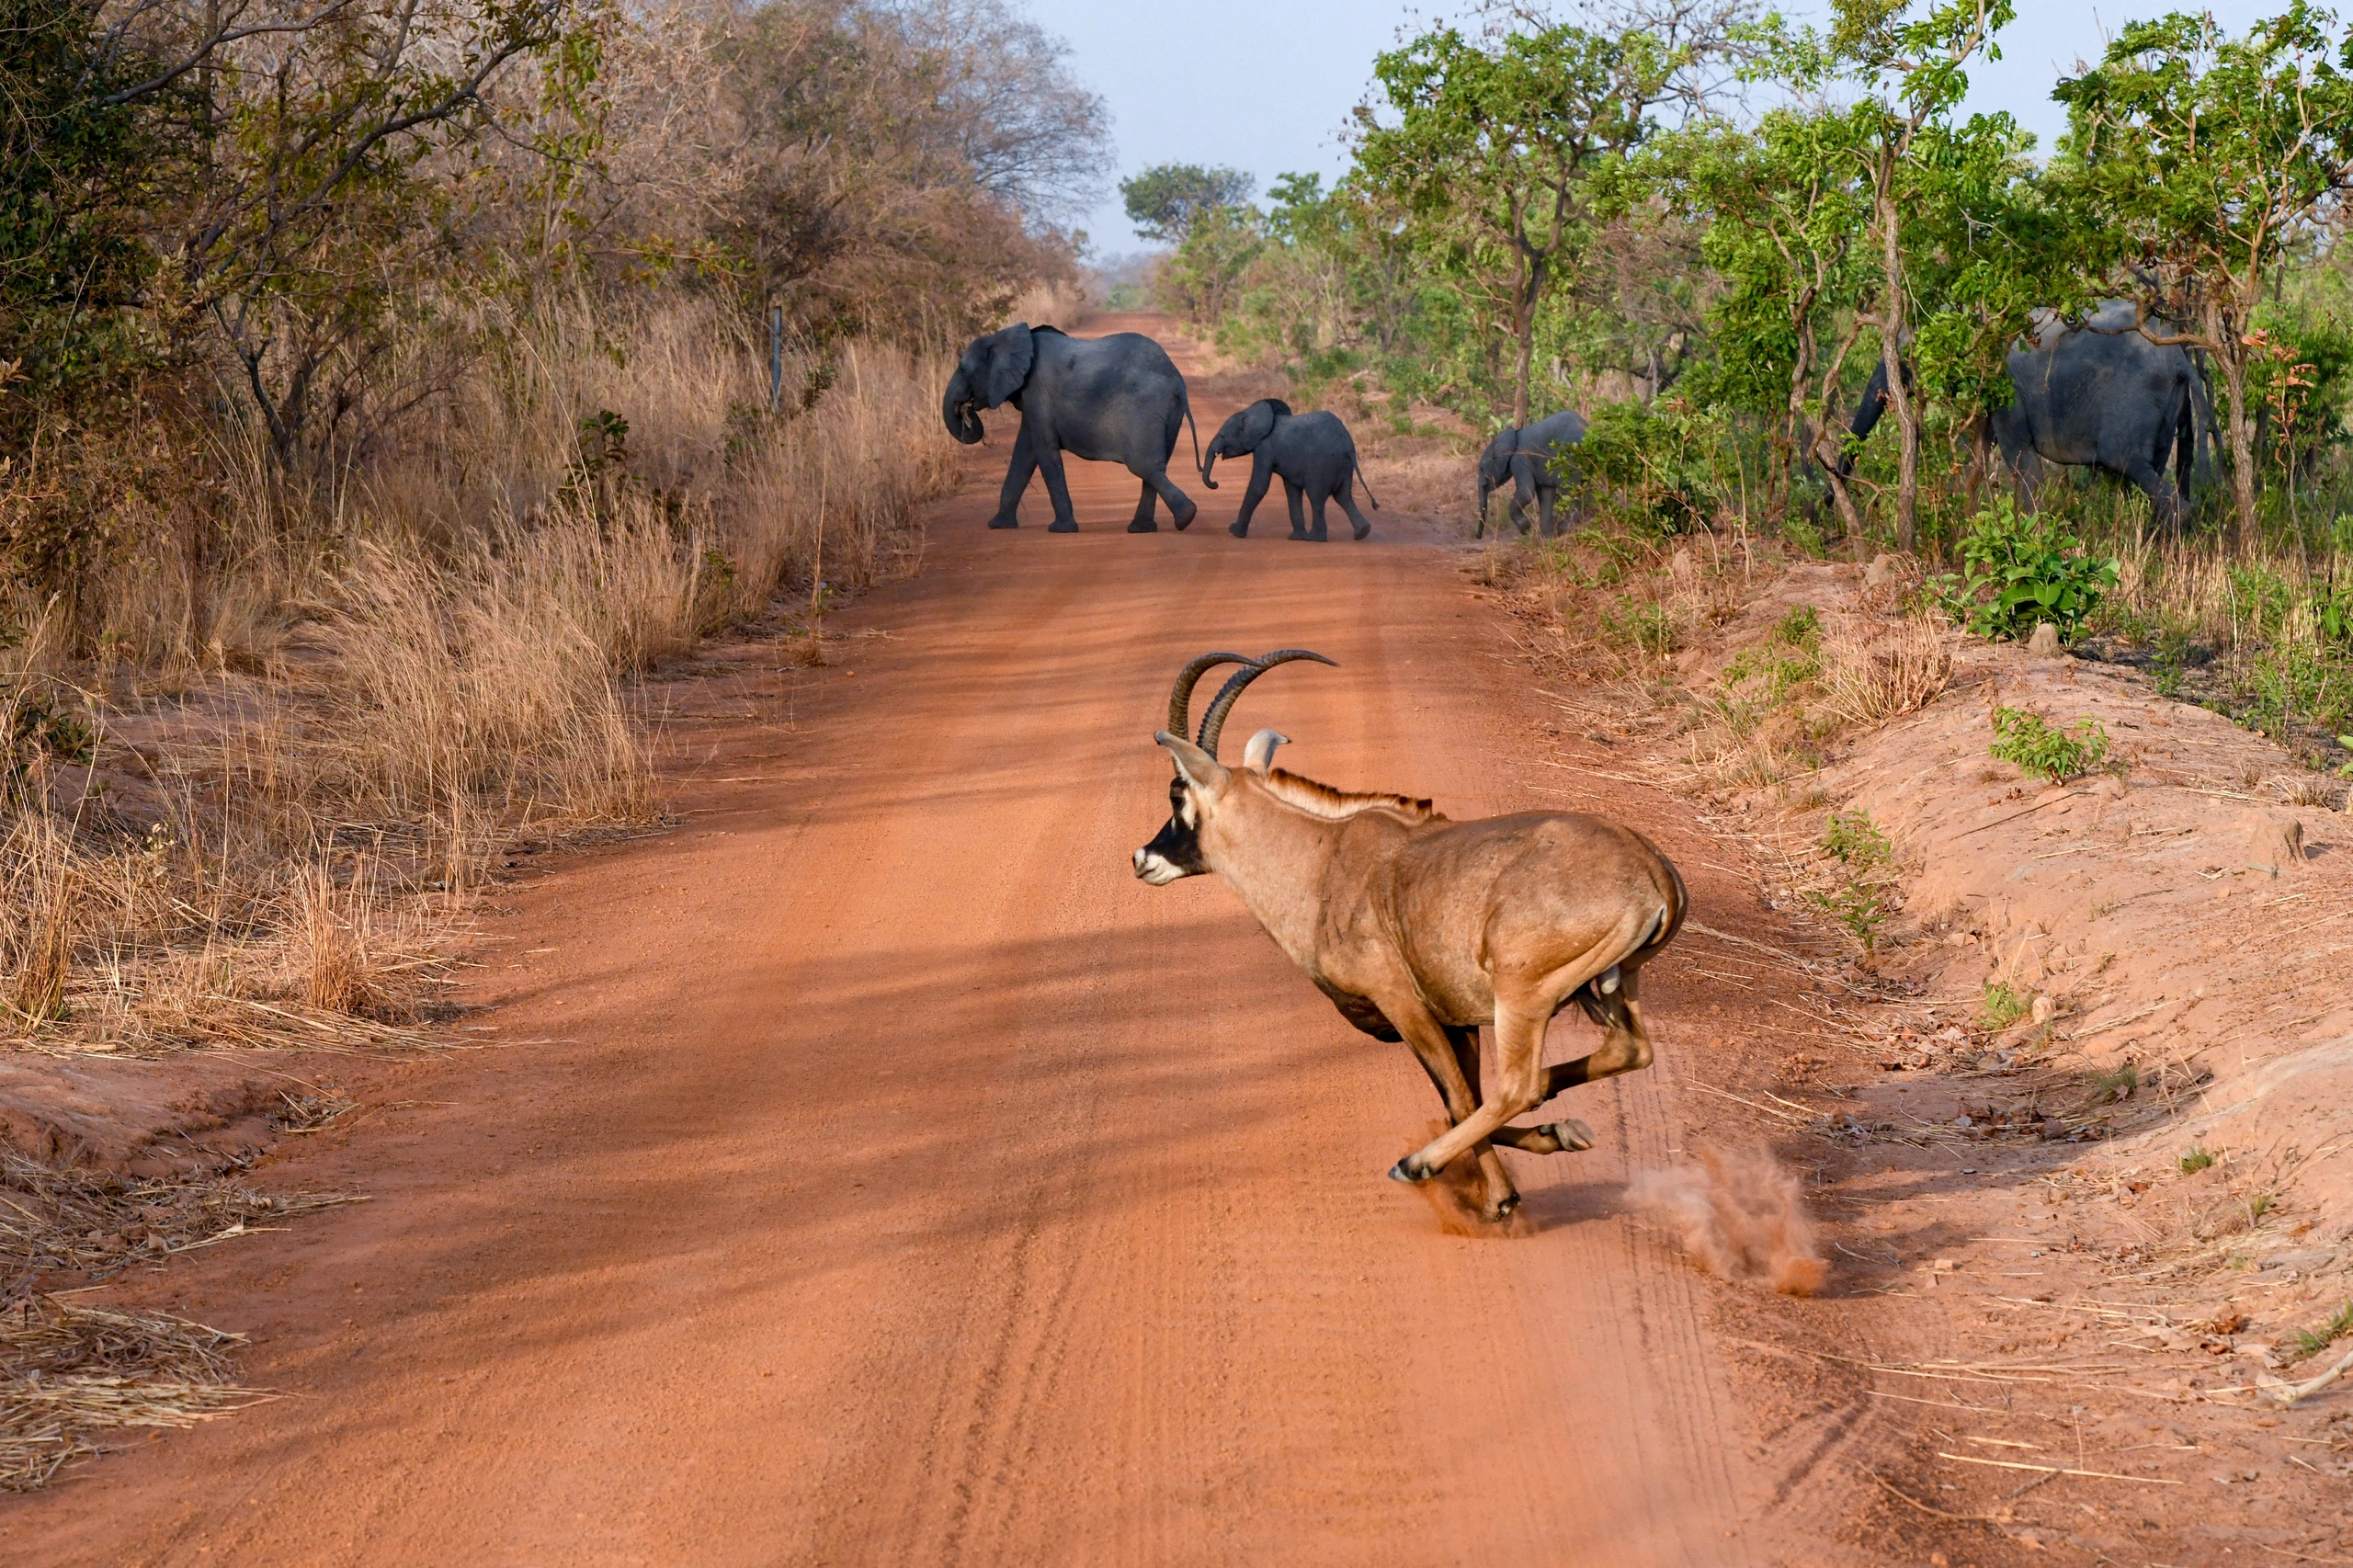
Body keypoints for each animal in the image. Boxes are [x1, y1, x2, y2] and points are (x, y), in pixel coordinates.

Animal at [942, 322, 1205, 533]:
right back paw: (1144, 529)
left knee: (1143, 465)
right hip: (1170, 413)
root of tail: (1177, 380)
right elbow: (1024, 454)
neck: (1007, 336)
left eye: (963, 369)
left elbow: (1044, 452)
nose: (967, 408)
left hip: (1145, 407)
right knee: (1155, 467)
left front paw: (1061, 530)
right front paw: (998, 526)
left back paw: (1184, 518)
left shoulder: (1036, 392)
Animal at [1199, 399, 1379, 541]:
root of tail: (1348, 447)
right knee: (1344, 497)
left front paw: (1234, 532)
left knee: (1317, 497)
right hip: (1343, 467)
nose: (1216, 483)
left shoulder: (1265, 447)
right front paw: (1296, 537)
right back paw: (1362, 533)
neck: (1252, 413)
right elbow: (1292, 490)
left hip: (1322, 465)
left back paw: (1316, 538)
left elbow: (1259, 487)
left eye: (1222, 436)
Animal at [1475, 410, 1589, 538]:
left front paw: (1526, 529)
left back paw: (1563, 529)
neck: (1510, 437)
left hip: (1568, 460)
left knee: (1569, 490)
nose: (1478, 537)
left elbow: (1526, 492)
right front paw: (1547, 538)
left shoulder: (1519, 461)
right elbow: (1545, 494)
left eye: (1481, 468)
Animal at [1844, 300, 2211, 529]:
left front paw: (2033, 535)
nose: (1834, 501)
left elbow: (2020, 458)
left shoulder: (2006, 387)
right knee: (2148, 467)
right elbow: (1981, 455)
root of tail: (2179, 359)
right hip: (2165, 403)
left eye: (1907, 356)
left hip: (2135, 398)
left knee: (2122, 459)